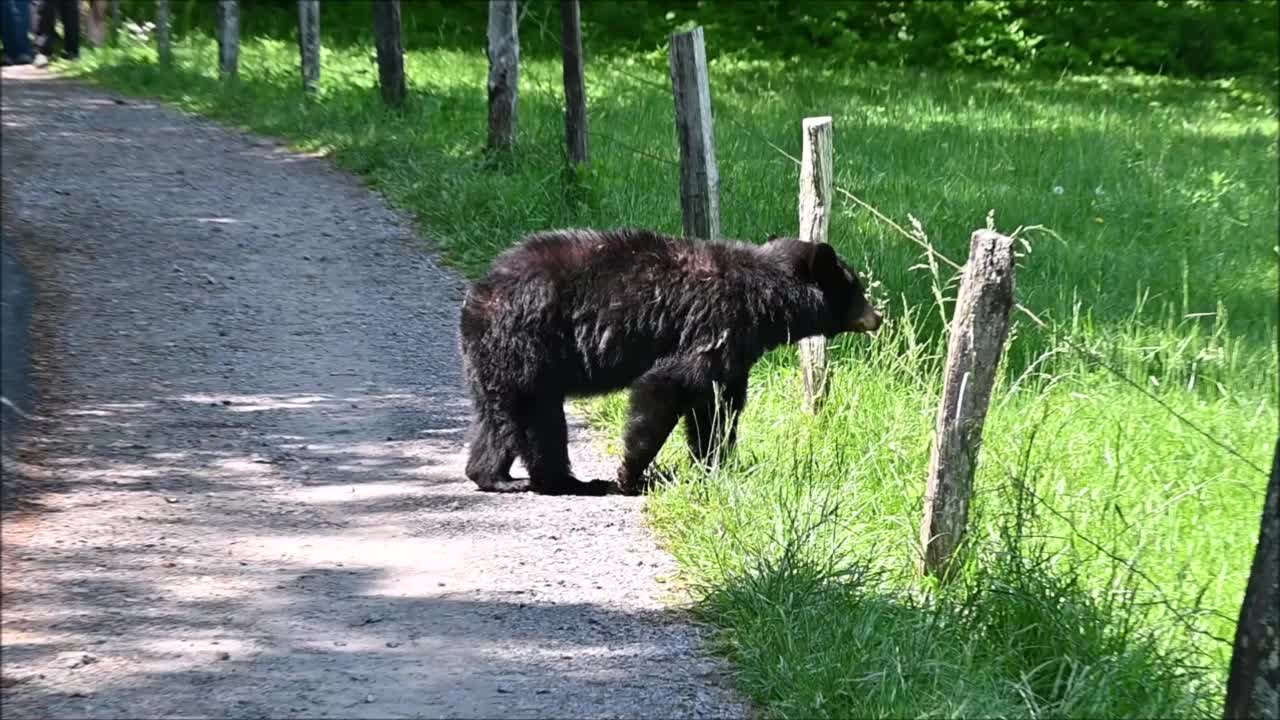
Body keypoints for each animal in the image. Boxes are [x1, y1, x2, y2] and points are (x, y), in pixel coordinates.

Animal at [458, 228, 880, 491]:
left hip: (498, 362)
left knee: (497, 419)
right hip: (530, 346)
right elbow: (669, 386)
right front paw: (630, 474)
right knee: (538, 419)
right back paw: (565, 481)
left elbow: (717, 407)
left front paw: (713, 464)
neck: (764, 297)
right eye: (856, 287)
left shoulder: (735, 350)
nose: (877, 317)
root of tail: (479, 295)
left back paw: (493, 475)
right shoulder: (713, 325)